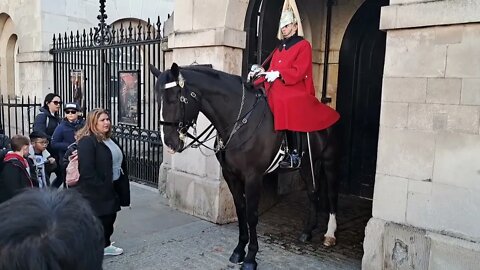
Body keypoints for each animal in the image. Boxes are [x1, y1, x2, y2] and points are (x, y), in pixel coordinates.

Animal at [149, 63, 338, 270]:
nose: (169, 143)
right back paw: (308, 231)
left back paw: (330, 234)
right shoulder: (231, 175)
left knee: (331, 194)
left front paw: (250, 257)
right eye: (158, 100)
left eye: (175, 99)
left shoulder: (253, 177)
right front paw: (239, 250)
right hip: (307, 165)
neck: (239, 122)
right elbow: (240, 210)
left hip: (329, 162)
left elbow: (252, 214)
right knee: (313, 193)